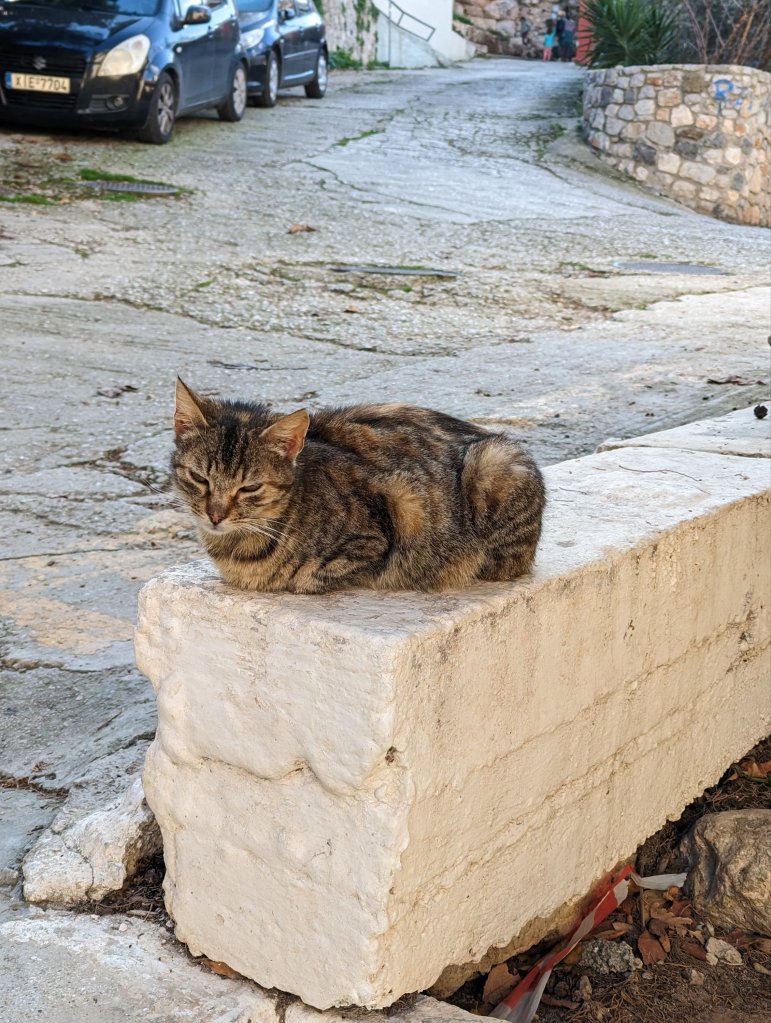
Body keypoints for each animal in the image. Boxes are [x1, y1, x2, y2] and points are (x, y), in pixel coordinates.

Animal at [172, 378, 545, 594]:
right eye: (199, 478)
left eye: (249, 488)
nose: (215, 515)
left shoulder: (387, 523)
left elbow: (312, 576)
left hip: (493, 462)